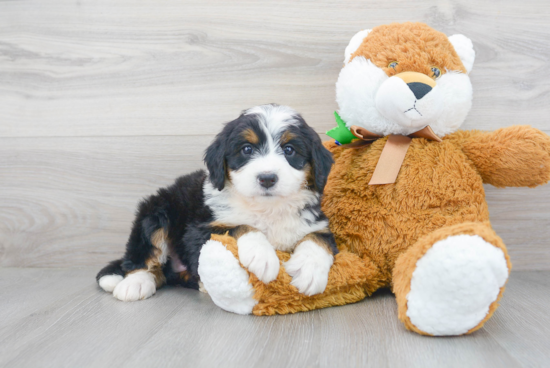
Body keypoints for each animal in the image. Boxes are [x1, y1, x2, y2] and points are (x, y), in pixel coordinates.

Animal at [97, 103, 338, 302]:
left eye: (289, 150)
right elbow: (240, 226)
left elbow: (318, 239)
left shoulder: (316, 223)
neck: (266, 209)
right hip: (156, 212)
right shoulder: (198, 230)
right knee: (143, 256)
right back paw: (134, 283)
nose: (267, 178)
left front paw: (309, 269)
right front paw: (263, 256)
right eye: (247, 149)